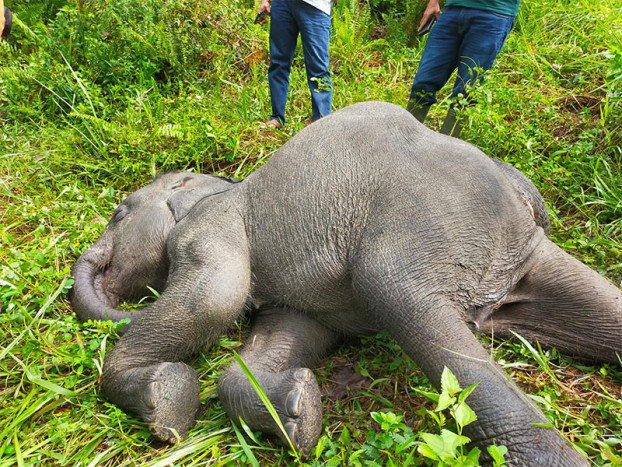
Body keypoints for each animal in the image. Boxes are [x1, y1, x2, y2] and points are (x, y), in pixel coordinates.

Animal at [69, 100, 622, 466]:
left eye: (119, 213)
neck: (225, 184)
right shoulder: (296, 301)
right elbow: (277, 346)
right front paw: (299, 414)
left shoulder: (210, 226)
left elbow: (214, 297)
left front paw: (164, 405)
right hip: (523, 251)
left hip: (417, 233)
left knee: (408, 305)